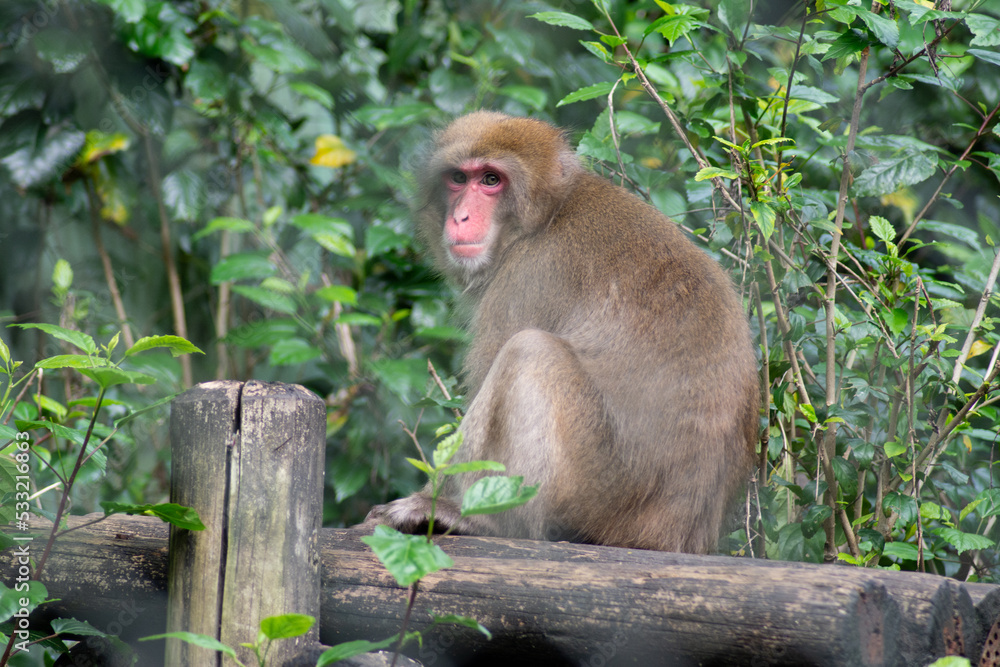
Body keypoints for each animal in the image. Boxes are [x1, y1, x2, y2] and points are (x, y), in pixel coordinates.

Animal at [365, 111, 759, 554]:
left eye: (490, 180)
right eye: (458, 178)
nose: (460, 217)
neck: (547, 215)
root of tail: (676, 534)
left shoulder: (527, 277)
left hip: (595, 486)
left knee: (530, 351)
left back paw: (486, 521)